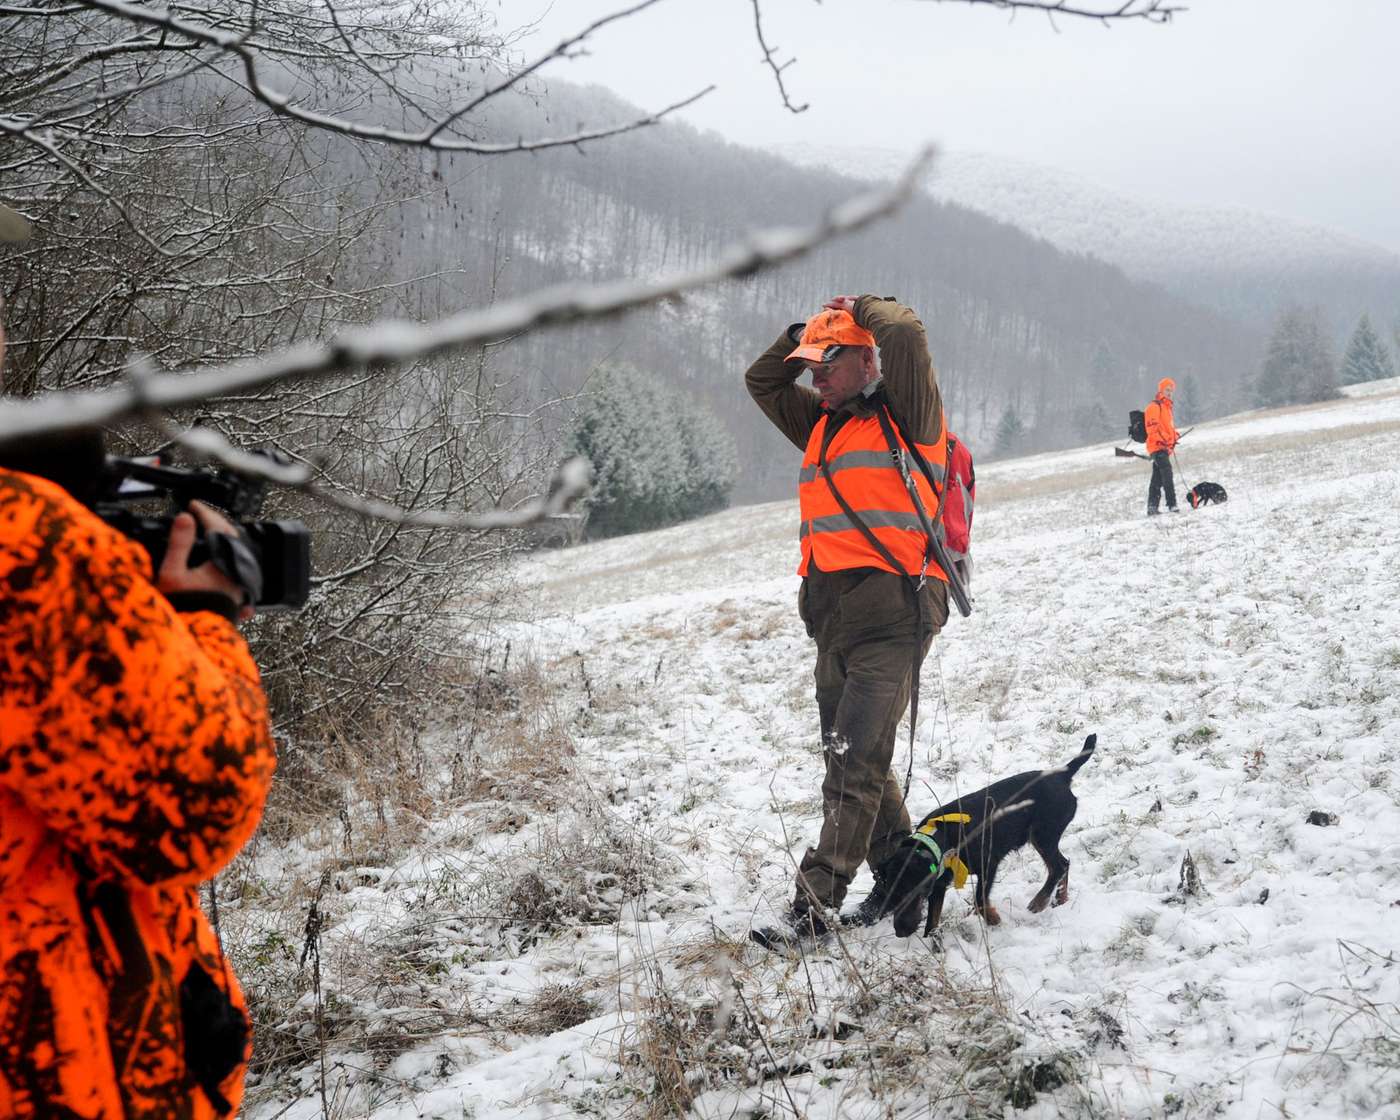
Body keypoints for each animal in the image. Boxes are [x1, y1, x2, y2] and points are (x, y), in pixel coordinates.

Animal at [873, 734, 1097, 938]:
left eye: (910, 893)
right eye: (890, 894)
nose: (900, 932)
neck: (940, 838)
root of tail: (1063, 774)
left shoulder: (988, 863)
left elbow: (980, 899)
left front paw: (993, 919)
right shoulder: (938, 885)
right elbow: (932, 924)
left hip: (1043, 834)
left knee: (1058, 866)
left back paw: (1039, 902)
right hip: (1043, 837)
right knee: (1063, 864)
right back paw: (1060, 899)